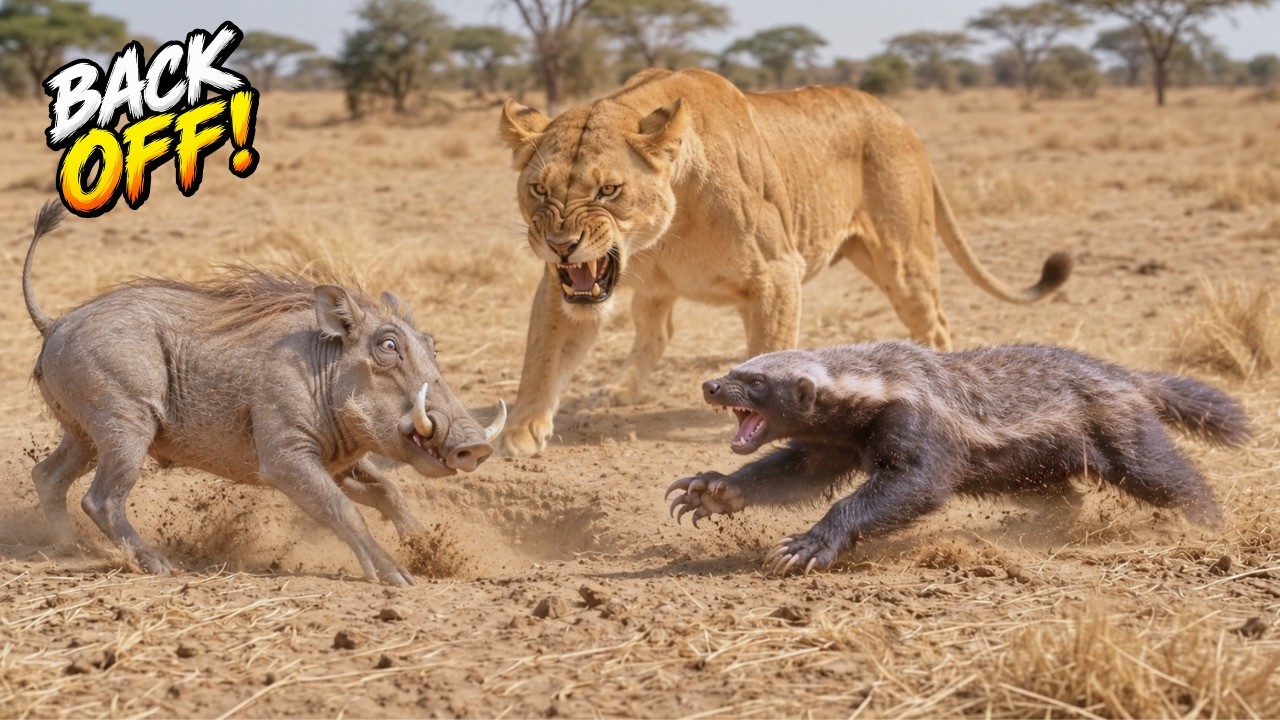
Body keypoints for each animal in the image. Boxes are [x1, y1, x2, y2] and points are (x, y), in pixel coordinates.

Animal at [496, 68, 1071, 458]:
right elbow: (542, 354)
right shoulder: (565, 286)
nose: (561, 244)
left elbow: (768, 351)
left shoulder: (775, 274)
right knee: (656, 333)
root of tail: (899, 118)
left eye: (609, 190)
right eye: (539, 190)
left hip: (902, 260)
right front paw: (520, 430)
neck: (661, 233)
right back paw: (619, 390)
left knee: (935, 324)